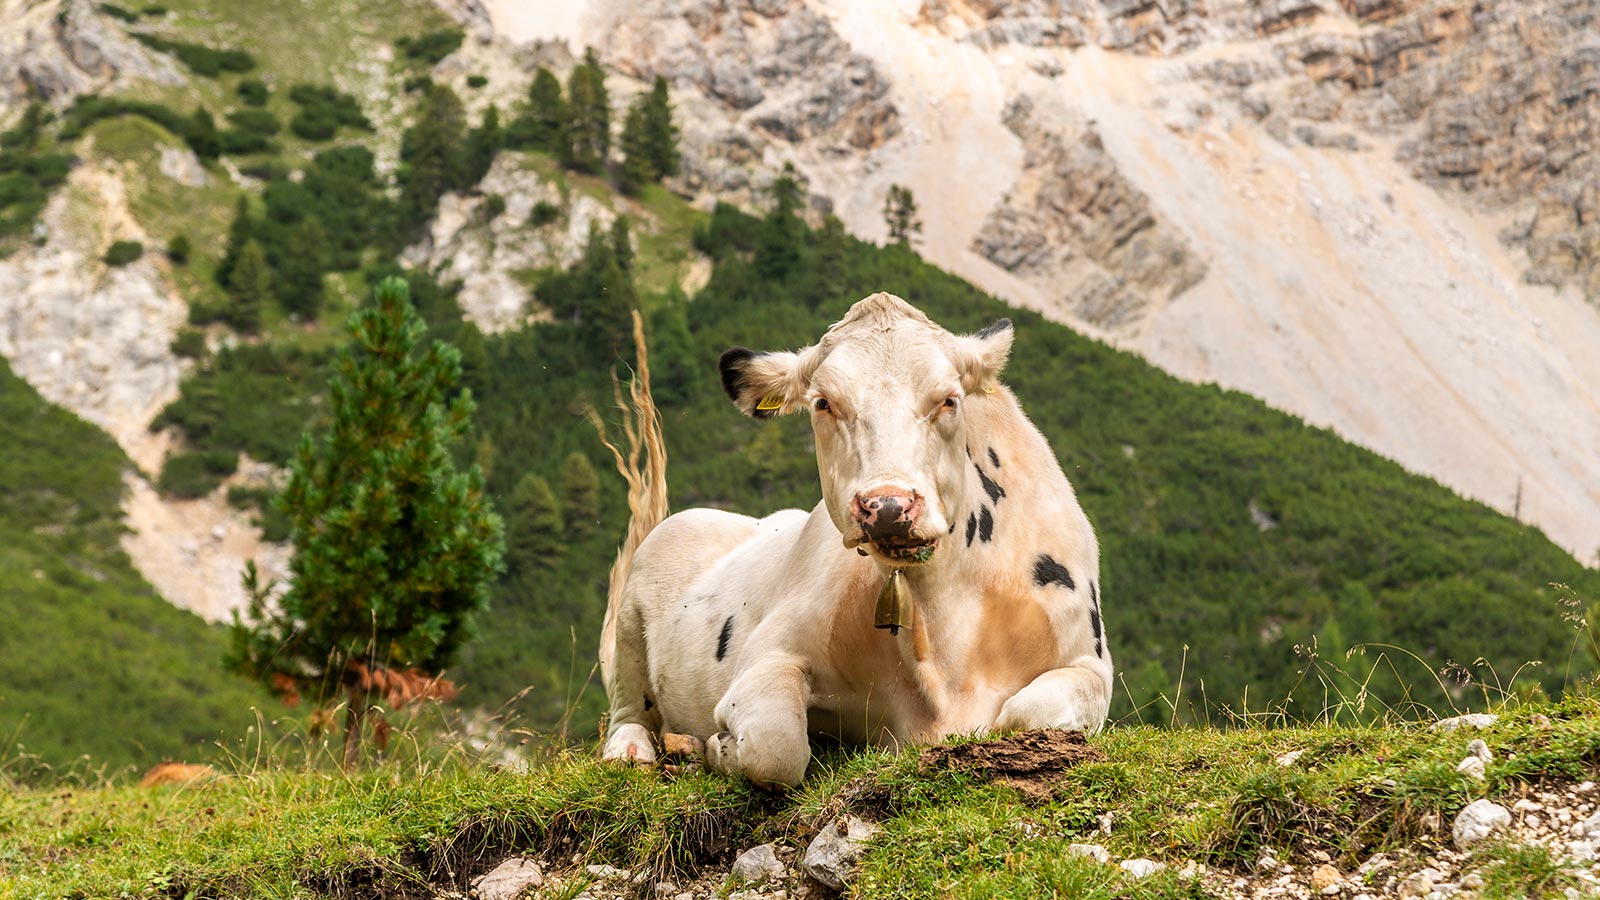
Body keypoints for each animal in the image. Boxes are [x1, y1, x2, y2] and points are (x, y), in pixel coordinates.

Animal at [595, 293, 1107, 784]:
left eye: (949, 399)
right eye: (823, 402)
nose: (888, 506)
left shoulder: (1089, 662)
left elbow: (1024, 715)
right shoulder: (769, 654)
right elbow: (775, 745)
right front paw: (716, 747)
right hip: (631, 618)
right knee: (628, 714)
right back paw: (639, 750)